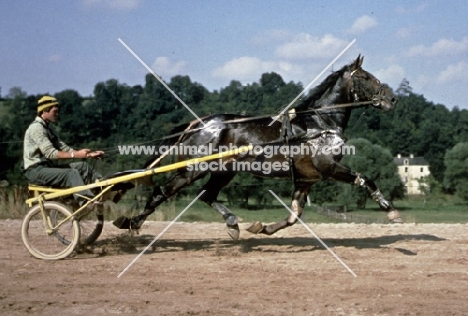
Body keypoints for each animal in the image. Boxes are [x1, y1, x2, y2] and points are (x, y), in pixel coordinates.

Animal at [114, 56, 402, 239]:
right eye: (365, 77)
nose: (392, 99)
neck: (320, 123)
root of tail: (199, 123)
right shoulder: (328, 167)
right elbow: (366, 179)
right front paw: (391, 211)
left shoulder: (306, 179)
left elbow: (294, 215)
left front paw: (263, 228)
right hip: (193, 169)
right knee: (162, 191)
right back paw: (133, 223)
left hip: (224, 171)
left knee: (207, 195)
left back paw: (233, 224)